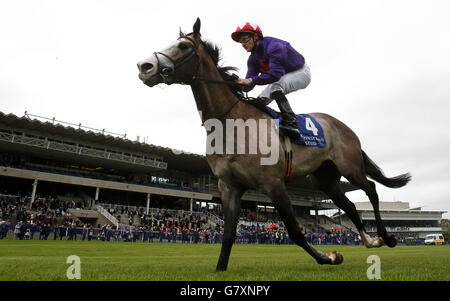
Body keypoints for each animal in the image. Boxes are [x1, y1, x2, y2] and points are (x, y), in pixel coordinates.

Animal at [137, 18, 412, 270]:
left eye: (183, 46)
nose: (144, 66)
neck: (230, 122)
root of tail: (343, 126)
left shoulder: (273, 183)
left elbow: (295, 231)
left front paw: (327, 257)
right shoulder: (229, 186)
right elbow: (228, 234)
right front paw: (220, 268)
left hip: (350, 167)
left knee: (371, 190)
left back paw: (386, 237)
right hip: (325, 179)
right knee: (351, 206)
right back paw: (371, 240)